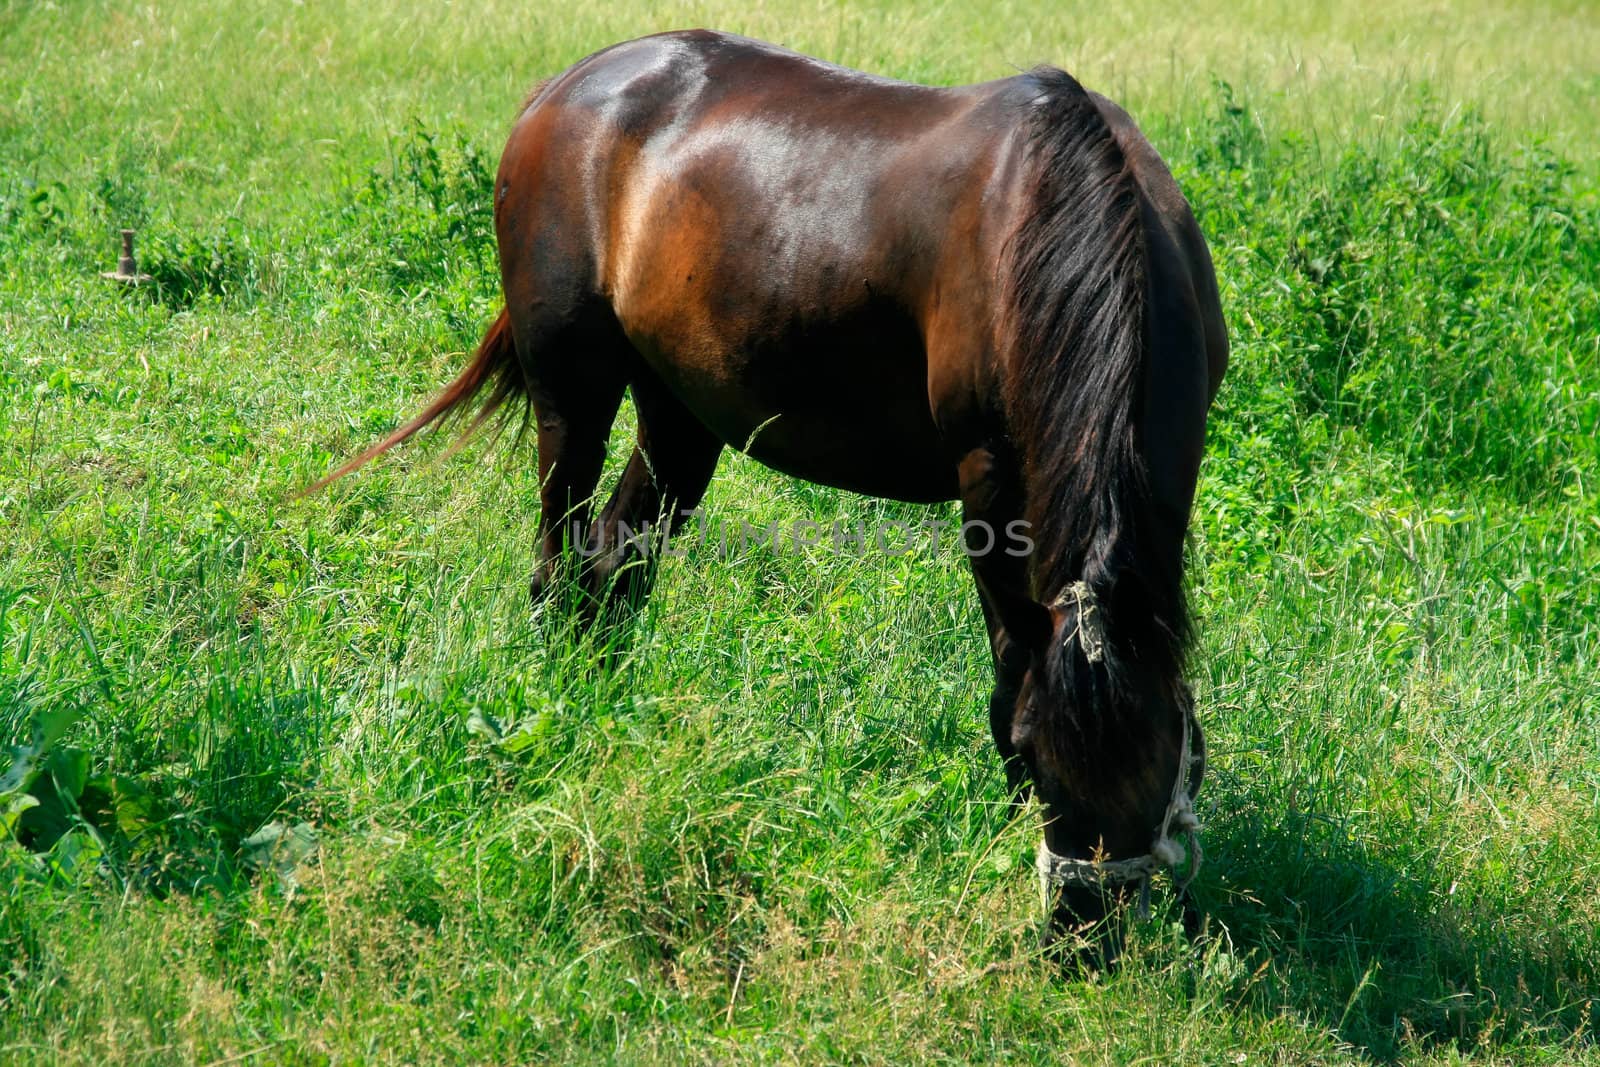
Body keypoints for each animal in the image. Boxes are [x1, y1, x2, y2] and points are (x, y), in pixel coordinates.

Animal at [318, 27, 1228, 940]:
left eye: (1168, 763)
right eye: (1038, 758)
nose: (1086, 941)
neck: (1052, 220)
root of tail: (563, 85)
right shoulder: (990, 488)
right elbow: (1010, 665)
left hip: (680, 411)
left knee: (615, 565)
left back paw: (609, 707)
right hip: (572, 392)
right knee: (558, 562)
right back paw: (558, 700)